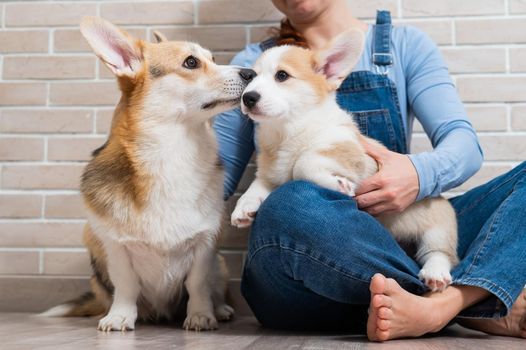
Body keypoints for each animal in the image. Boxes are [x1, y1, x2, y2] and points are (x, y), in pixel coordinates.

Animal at [40, 18, 258, 330]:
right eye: (191, 62)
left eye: (213, 58)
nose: (252, 73)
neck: (174, 149)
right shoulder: (115, 246)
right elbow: (126, 285)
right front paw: (120, 316)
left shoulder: (204, 244)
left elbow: (197, 284)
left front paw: (200, 315)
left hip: (221, 266)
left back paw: (221, 309)